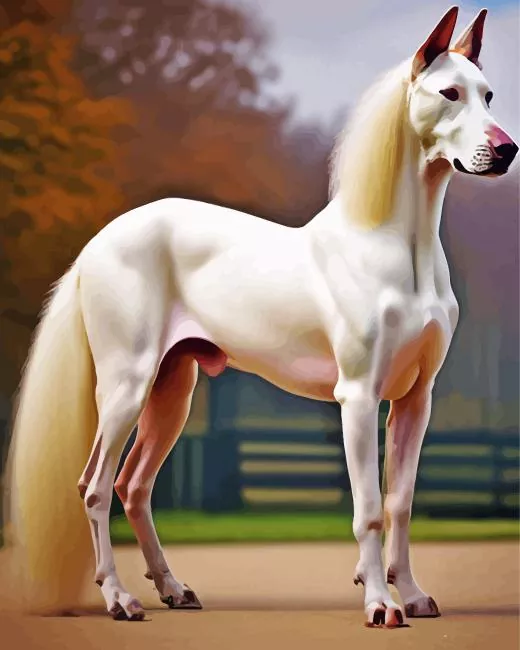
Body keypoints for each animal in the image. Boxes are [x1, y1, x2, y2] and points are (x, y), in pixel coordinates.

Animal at [3, 5, 517, 629]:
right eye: (448, 93)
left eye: (487, 94)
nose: (506, 150)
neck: (395, 250)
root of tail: (98, 244)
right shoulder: (358, 397)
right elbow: (369, 506)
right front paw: (379, 604)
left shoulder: (415, 400)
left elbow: (400, 501)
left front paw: (413, 596)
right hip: (126, 387)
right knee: (96, 487)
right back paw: (120, 600)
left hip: (172, 391)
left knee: (135, 486)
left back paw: (175, 590)